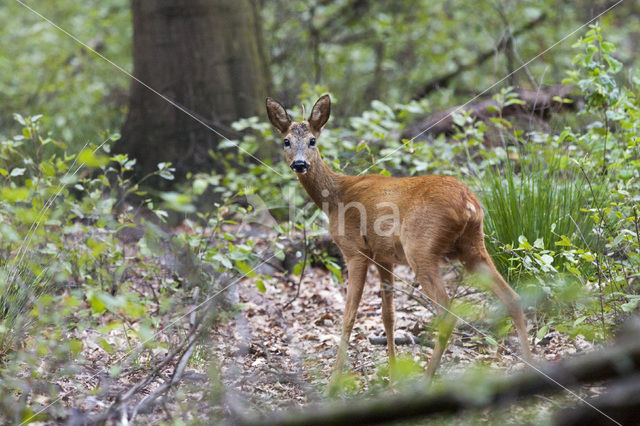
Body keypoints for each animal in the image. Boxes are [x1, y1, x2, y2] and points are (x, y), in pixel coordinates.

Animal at [266, 95, 536, 384]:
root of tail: (469, 205)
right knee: (512, 298)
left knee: (446, 312)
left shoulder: (355, 250)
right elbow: (388, 315)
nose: (300, 164)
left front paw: (334, 380)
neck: (336, 196)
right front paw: (393, 373)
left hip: (421, 248)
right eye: (286, 141)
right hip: (473, 245)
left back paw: (427, 378)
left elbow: (348, 316)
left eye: (312, 141)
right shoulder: (384, 257)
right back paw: (531, 365)